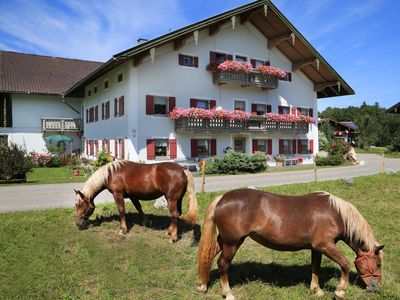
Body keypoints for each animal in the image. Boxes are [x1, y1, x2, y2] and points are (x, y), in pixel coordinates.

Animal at [197, 189, 384, 298]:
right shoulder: (325, 245)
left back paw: (203, 286)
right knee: (223, 264)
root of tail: (222, 198)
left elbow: (315, 268)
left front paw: (316, 290)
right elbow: (345, 263)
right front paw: (340, 291)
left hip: (224, 242)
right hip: (232, 243)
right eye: (378, 264)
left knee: (208, 257)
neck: (335, 213)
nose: (374, 287)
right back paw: (227, 293)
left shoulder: (316, 248)